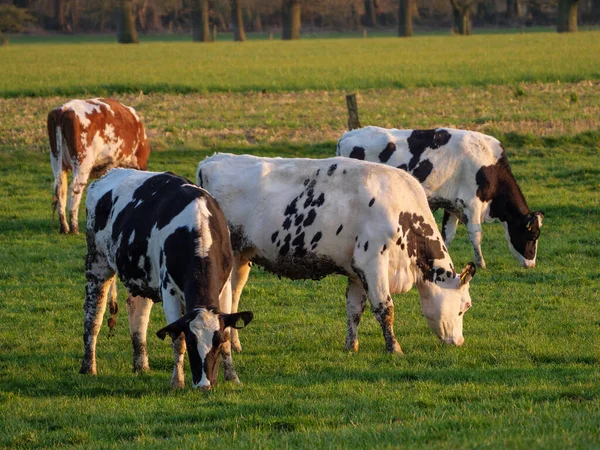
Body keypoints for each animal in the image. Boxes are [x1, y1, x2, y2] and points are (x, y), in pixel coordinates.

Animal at [48, 96, 151, 234]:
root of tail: (64, 109)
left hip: (56, 159)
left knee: (61, 189)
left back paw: (64, 227)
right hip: (82, 161)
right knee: (75, 189)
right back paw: (74, 228)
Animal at [80, 169, 253, 390]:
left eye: (217, 341)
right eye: (192, 343)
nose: (204, 384)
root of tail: (110, 173)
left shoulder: (224, 290)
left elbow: (229, 334)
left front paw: (232, 377)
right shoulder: (169, 290)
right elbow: (177, 338)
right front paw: (177, 381)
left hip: (142, 274)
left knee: (137, 311)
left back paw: (141, 365)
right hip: (98, 263)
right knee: (93, 316)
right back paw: (88, 367)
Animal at [199, 155, 476, 356]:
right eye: (466, 306)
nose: (460, 341)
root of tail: (212, 160)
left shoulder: (356, 271)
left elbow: (354, 309)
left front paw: (351, 346)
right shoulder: (372, 261)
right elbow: (385, 308)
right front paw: (394, 349)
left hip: (241, 258)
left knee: (233, 298)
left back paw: (235, 345)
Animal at [338, 125, 544, 268]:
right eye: (533, 235)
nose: (531, 264)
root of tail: (347, 135)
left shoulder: (452, 206)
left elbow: (447, 235)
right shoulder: (472, 204)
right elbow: (476, 235)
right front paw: (481, 263)